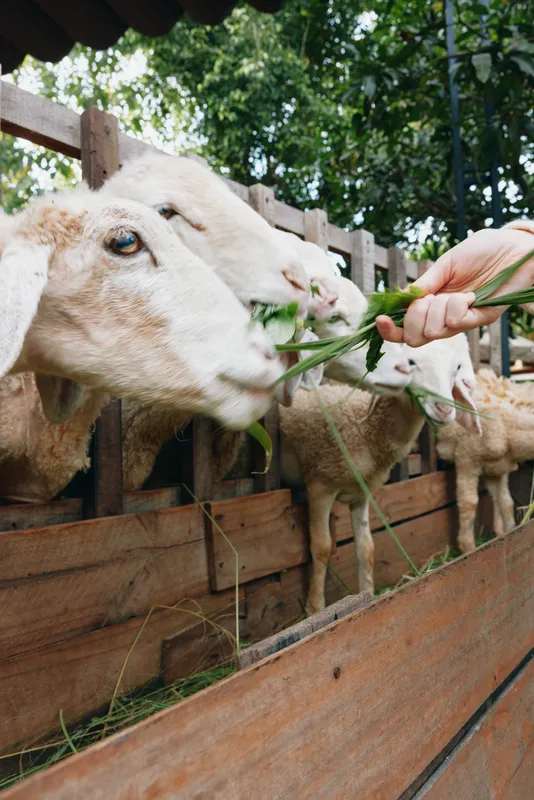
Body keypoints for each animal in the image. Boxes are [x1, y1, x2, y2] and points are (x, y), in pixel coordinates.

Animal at [279, 334, 480, 614]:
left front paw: (368, 597)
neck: (365, 427)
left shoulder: (360, 493)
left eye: (457, 367)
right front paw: (315, 609)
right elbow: (322, 547)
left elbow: (366, 549)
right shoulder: (320, 483)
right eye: (411, 362)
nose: (444, 409)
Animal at [436, 367, 534, 553]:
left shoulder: (501, 467)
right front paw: (468, 548)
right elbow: (469, 503)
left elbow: (506, 502)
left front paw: (509, 533)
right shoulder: (466, 459)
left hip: (493, 469)